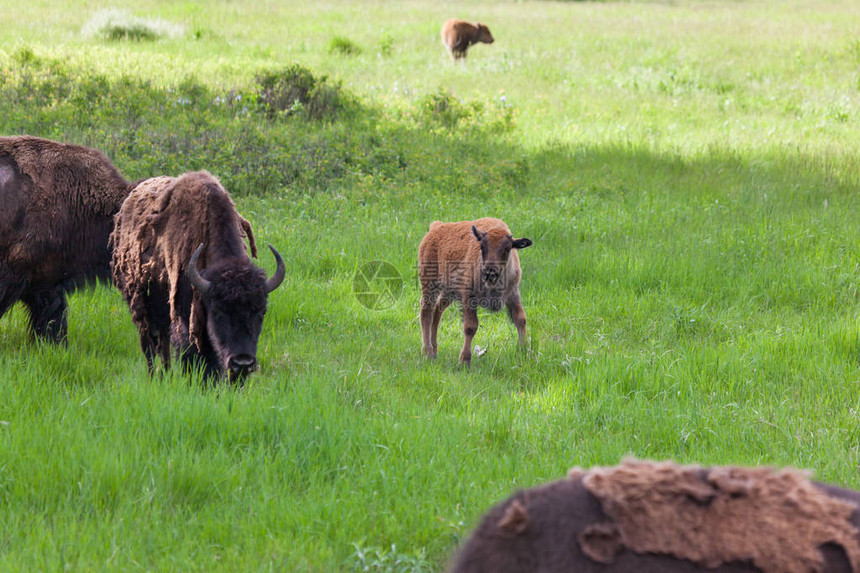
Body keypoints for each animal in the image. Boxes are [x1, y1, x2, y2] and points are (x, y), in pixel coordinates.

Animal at [109, 172, 286, 382]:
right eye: (217, 311)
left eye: (262, 311)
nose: (242, 363)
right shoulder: (187, 319)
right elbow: (193, 355)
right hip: (140, 307)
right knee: (149, 346)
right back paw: (156, 377)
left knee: (163, 345)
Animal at [418, 217, 532, 364]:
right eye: (482, 247)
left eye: (507, 249)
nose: (490, 272)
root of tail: (436, 227)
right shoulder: (468, 298)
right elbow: (470, 327)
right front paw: (464, 360)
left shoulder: (513, 295)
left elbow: (520, 319)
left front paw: (524, 351)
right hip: (429, 283)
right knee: (426, 312)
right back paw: (427, 352)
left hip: (449, 291)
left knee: (437, 310)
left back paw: (434, 351)